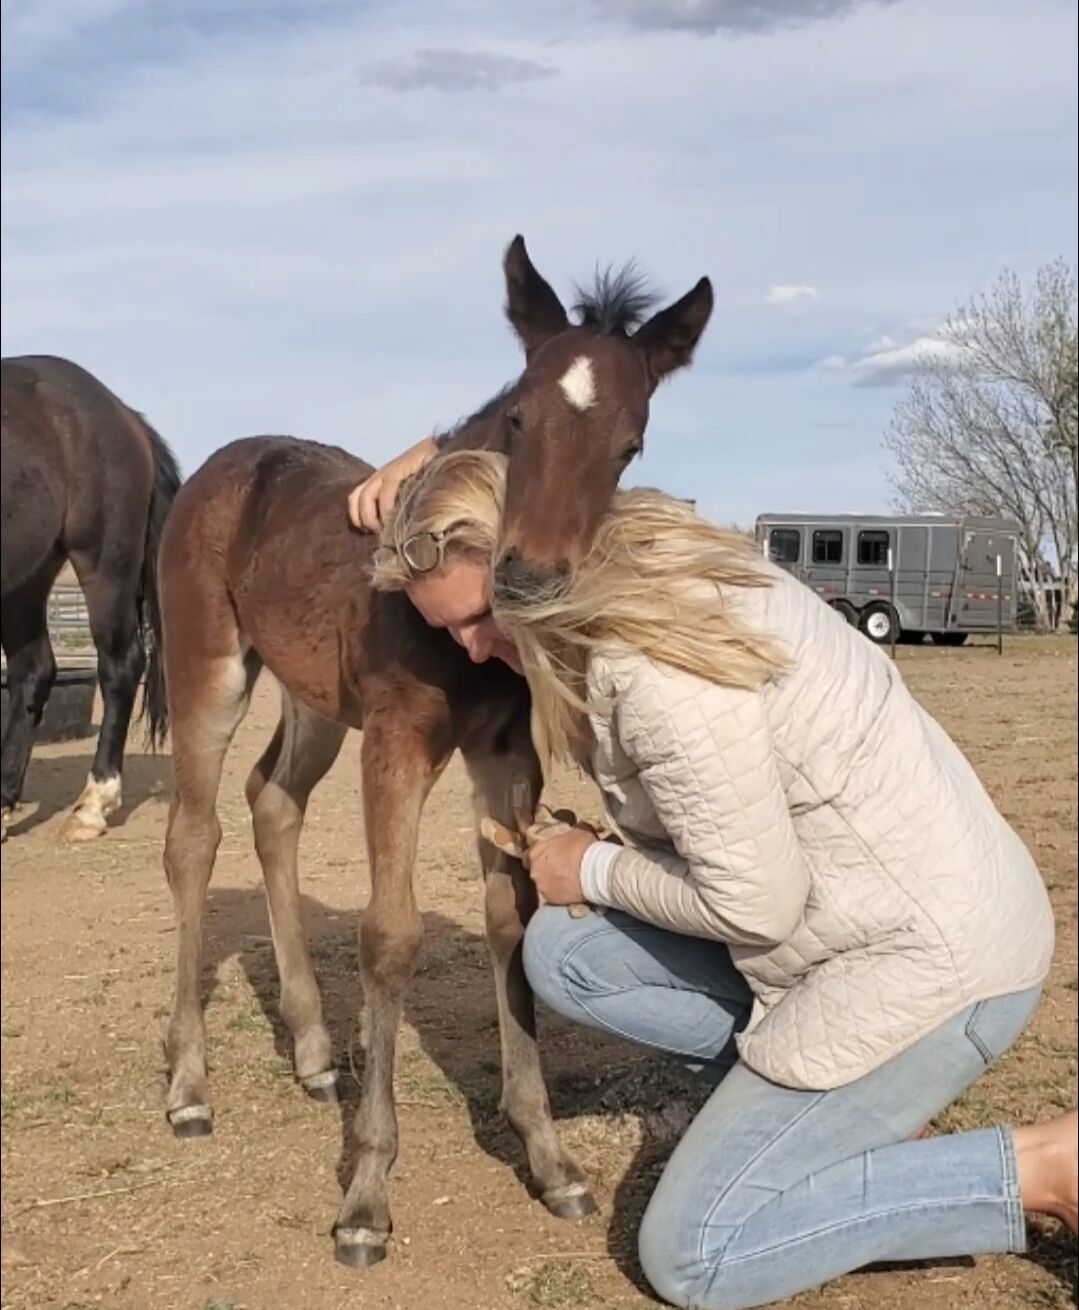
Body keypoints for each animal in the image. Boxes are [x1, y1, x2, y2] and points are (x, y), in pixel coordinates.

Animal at [0, 356, 180, 842]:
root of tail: (123, 413)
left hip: (103, 563)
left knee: (120, 667)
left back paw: (92, 805)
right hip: (28, 575)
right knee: (32, 672)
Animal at [158, 235, 713, 1269]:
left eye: (630, 444)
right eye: (519, 415)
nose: (528, 577)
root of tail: (225, 461)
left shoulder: (502, 754)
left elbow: (511, 920)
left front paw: (548, 1158)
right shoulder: (399, 739)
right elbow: (390, 935)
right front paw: (367, 1198)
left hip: (314, 699)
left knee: (273, 801)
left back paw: (309, 1050)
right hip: (208, 669)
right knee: (193, 837)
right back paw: (188, 1086)